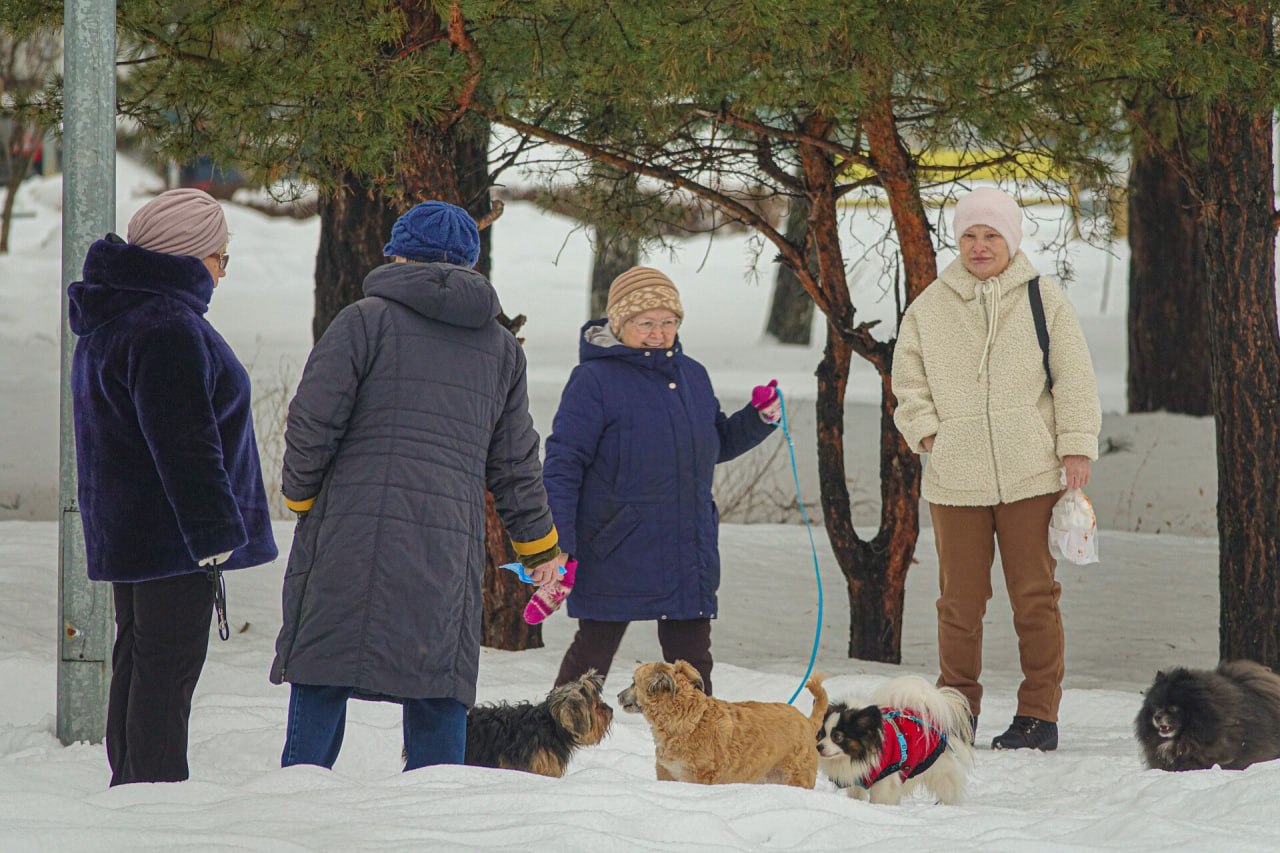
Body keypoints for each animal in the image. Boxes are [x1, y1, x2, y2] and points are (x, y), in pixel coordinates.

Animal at [619, 655, 829, 783]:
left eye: (633, 682)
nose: (617, 695)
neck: (688, 722)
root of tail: (807, 721)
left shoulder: (701, 777)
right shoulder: (667, 774)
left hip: (796, 777)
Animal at [819, 671, 967, 804]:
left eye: (837, 737)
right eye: (821, 734)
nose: (818, 747)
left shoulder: (885, 778)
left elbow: (879, 799)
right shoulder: (857, 779)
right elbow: (857, 795)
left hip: (939, 771)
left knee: (948, 789)